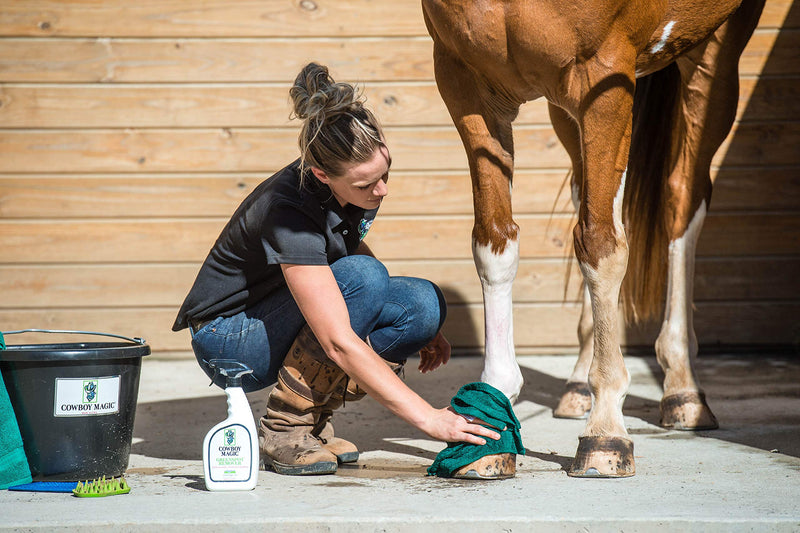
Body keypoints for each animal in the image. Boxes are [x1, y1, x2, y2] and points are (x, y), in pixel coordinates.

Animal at [422, 0, 764, 478]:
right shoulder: (464, 81)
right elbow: (495, 242)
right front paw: (486, 426)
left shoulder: (603, 78)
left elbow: (601, 246)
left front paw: (606, 431)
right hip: (568, 107)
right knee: (587, 193)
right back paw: (579, 383)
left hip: (712, 56)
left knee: (681, 200)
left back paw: (682, 387)